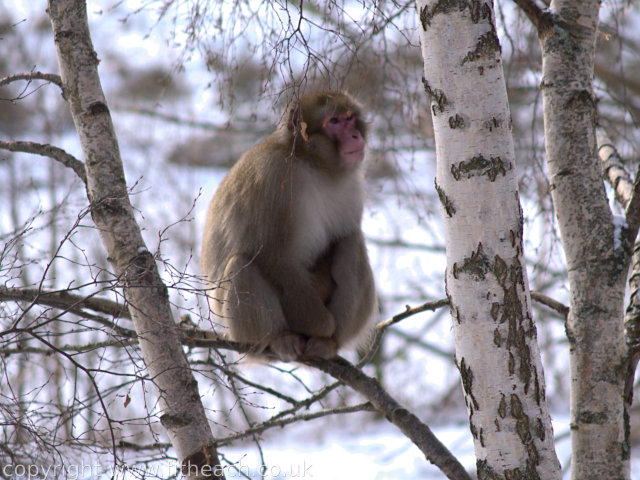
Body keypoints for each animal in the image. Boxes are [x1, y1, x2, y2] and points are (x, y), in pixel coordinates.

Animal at [202, 90, 378, 362]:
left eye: (349, 118)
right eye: (334, 121)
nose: (355, 136)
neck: (312, 162)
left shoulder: (352, 185)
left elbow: (341, 238)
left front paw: (327, 333)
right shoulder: (273, 178)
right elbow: (274, 257)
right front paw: (322, 325)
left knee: (351, 241)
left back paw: (328, 343)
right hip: (241, 333)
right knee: (241, 264)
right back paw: (279, 338)